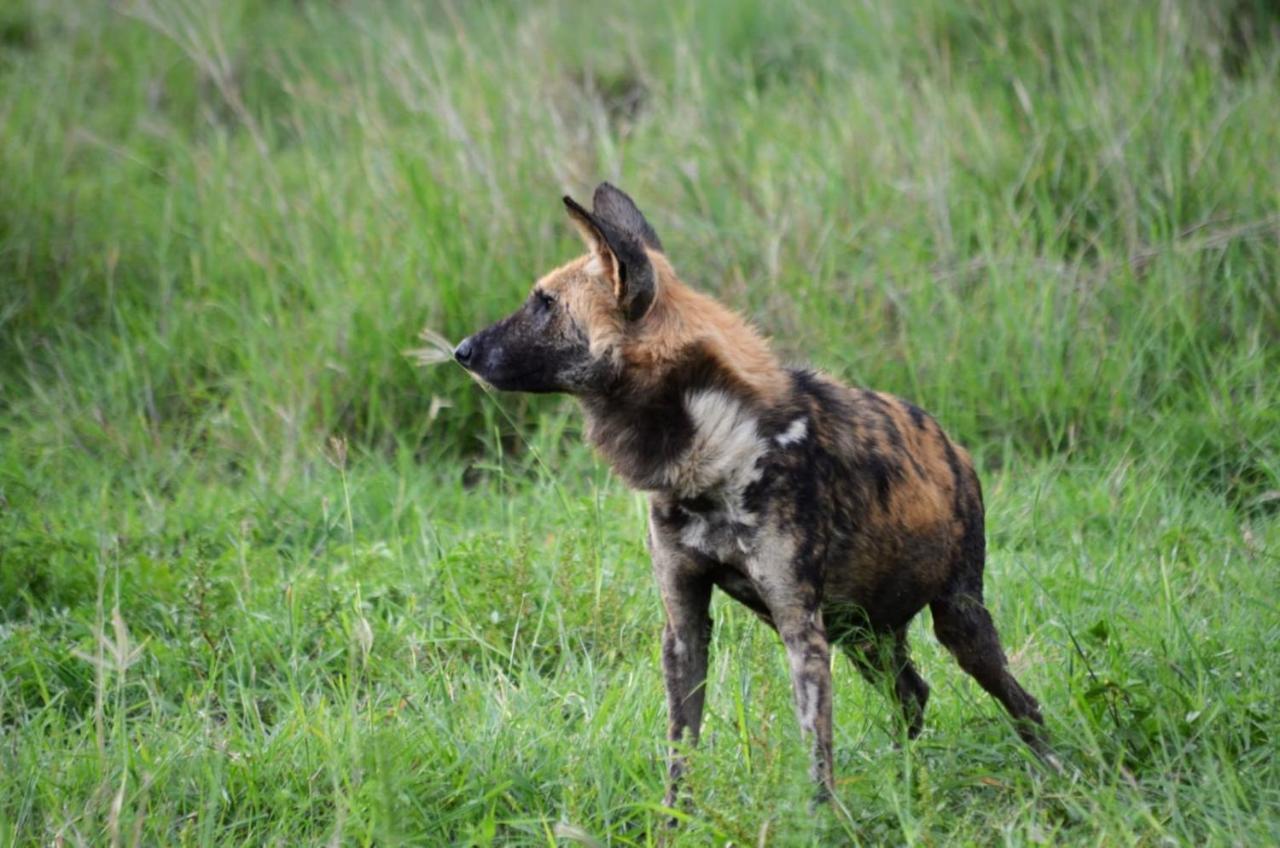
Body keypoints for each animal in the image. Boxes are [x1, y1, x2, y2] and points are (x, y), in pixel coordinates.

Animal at [453, 183, 1049, 809]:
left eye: (544, 304)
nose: (462, 350)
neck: (708, 448)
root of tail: (952, 444)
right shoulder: (685, 628)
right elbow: (680, 754)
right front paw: (675, 823)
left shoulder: (799, 626)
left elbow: (817, 754)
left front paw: (822, 821)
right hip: (862, 633)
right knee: (915, 693)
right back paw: (905, 785)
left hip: (958, 624)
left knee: (1022, 705)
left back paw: (1058, 773)